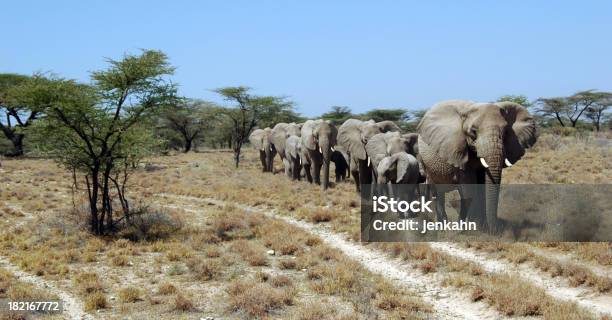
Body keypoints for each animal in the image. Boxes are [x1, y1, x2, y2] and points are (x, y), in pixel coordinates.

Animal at [418, 99, 536, 230]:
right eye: (473, 132)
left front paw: (481, 226)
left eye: (506, 131)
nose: (495, 230)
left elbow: (482, 184)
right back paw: (442, 225)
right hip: (425, 163)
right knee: (437, 192)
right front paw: (473, 228)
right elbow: (468, 186)